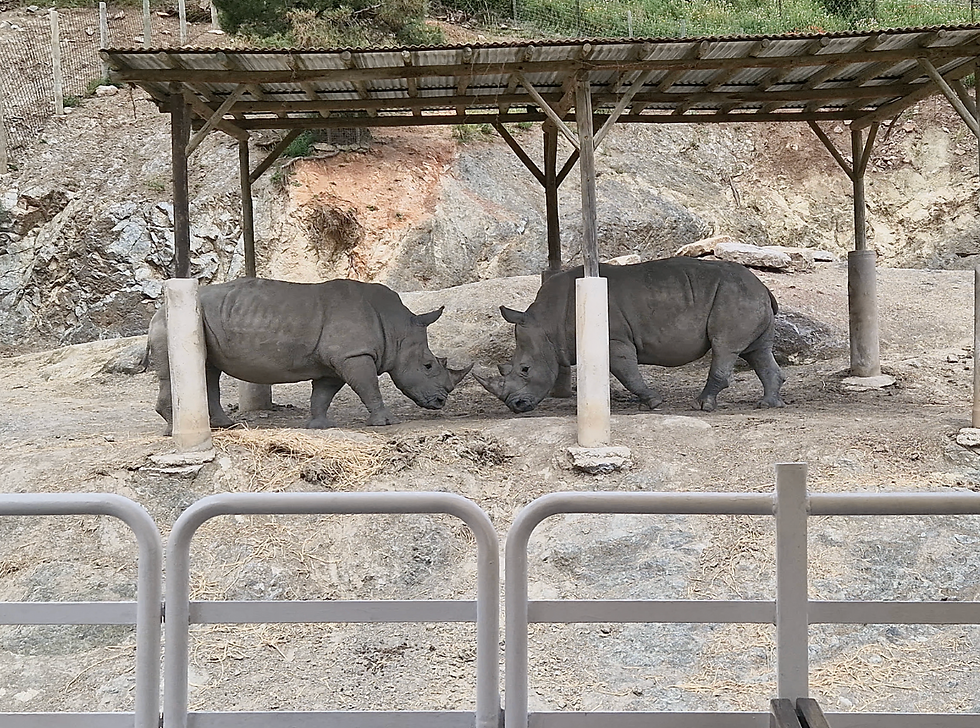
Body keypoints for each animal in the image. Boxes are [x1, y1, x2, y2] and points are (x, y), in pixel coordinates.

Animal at [147, 277, 471, 431]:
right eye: (428, 366)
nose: (440, 402)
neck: (397, 329)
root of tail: (157, 310)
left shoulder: (336, 362)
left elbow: (323, 394)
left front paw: (320, 426)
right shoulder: (354, 355)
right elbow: (369, 387)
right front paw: (386, 423)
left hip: (206, 320)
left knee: (209, 370)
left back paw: (225, 426)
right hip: (173, 321)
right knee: (183, 369)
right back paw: (174, 428)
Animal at [474, 258, 785, 413]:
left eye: (525, 369)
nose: (516, 406)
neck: (546, 324)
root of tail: (764, 287)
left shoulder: (613, 339)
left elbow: (627, 373)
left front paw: (653, 402)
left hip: (735, 296)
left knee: (725, 348)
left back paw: (703, 406)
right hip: (745, 296)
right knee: (757, 352)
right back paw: (767, 405)